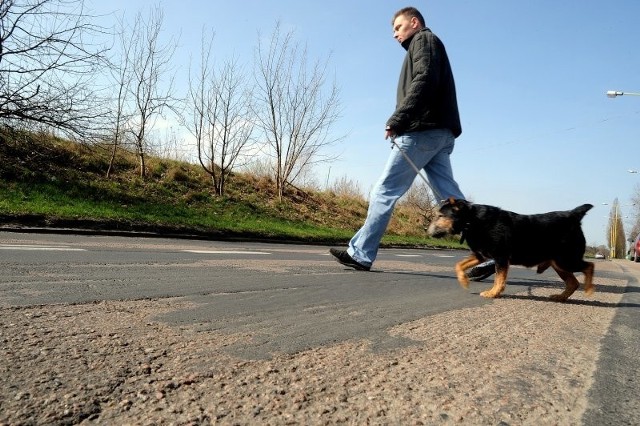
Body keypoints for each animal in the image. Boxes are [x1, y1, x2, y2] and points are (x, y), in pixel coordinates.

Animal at [428, 198, 596, 302]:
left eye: (440, 216)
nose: (427, 231)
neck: (472, 220)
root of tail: (573, 214)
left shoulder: (501, 257)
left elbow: (499, 279)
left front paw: (493, 293)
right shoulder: (481, 255)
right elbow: (459, 265)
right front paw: (464, 280)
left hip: (566, 260)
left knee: (589, 266)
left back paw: (588, 289)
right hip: (559, 263)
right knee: (573, 282)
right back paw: (561, 297)